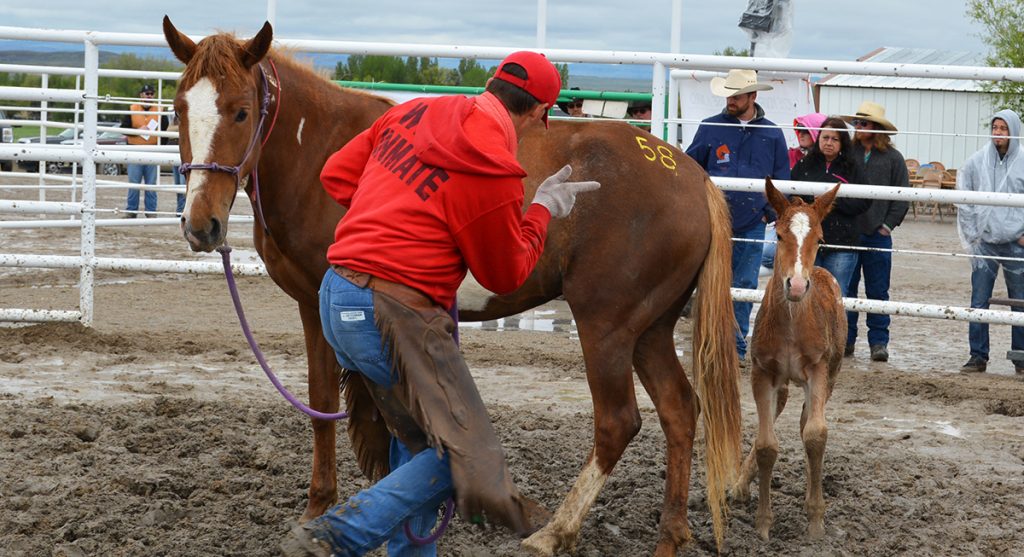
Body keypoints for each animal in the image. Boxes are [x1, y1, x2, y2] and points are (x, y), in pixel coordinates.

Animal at [162, 17, 741, 555]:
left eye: (241, 110)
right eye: (180, 110)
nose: (201, 225)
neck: (319, 147)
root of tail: (694, 178)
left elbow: (363, 415)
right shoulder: (313, 304)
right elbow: (322, 402)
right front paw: (322, 508)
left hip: (608, 327)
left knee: (618, 422)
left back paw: (554, 531)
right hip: (651, 329)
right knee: (679, 411)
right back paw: (669, 535)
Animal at [730, 178, 845, 541]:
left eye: (819, 238)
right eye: (779, 235)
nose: (796, 284)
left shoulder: (819, 370)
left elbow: (815, 434)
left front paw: (816, 519)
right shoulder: (762, 373)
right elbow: (766, 445)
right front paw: (763, 524)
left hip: (828, 377)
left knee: (806, 422)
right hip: (779, 385)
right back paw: (740, 485)